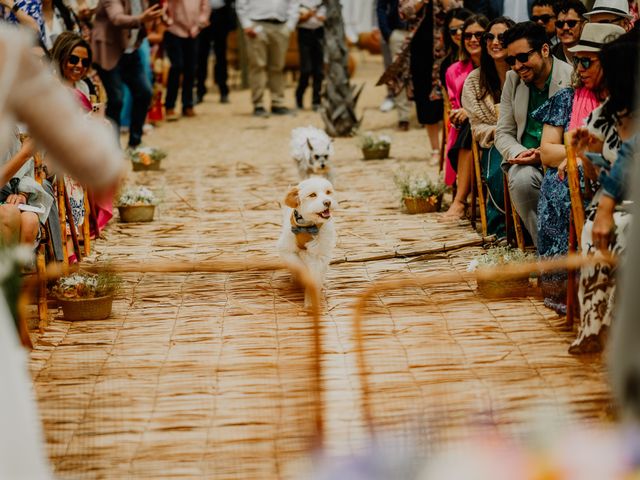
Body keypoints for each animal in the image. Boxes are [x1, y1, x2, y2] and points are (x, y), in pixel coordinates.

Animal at [278, 177, 338, 308]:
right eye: (312, 195)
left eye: (328, 192)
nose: (327, 202)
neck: (307, 227)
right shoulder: (286, 249)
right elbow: (297, 264)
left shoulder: (320, 255)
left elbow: (315, 275)